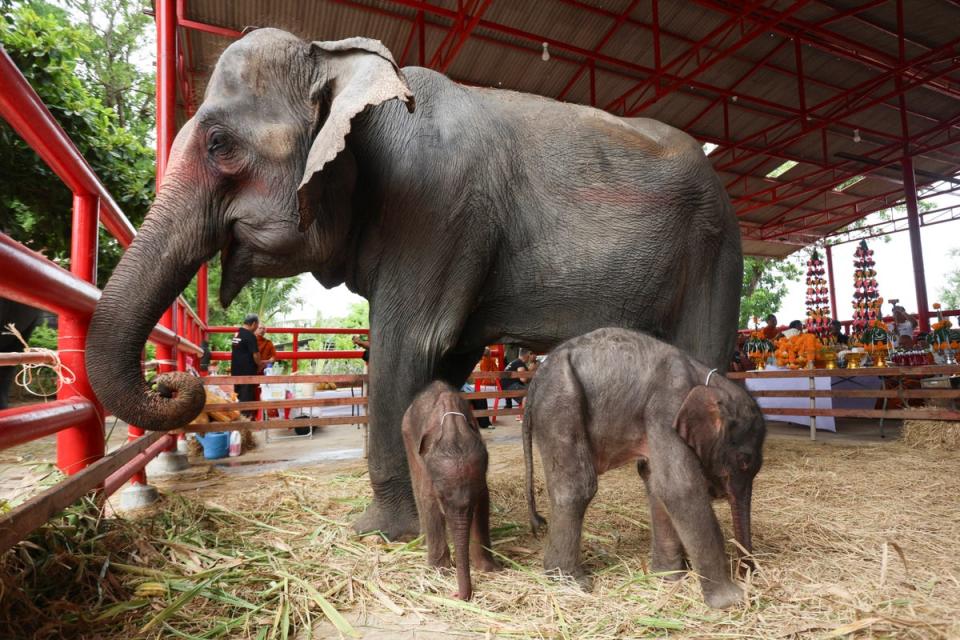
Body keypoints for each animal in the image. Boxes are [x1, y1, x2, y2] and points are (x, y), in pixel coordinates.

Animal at [86, 30, 744, 540]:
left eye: (219, 144)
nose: (179, 380)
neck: (342, 63)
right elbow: (442, 363)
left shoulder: (435, 211)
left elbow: (408, 347)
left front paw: (379, 532)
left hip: (716, 247)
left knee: (703, 357)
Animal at [402, 380, 498, 600]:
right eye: (442, 497)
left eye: (475, 496)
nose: (455, 595)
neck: (453, 427)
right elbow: (428, 499)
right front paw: (440, 571)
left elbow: (484, 503)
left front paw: (489, 569)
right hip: (407, 434)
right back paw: (423, 542)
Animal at [520, 330, 768, 608]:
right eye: (744, 460)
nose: (748, 573)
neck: (707, 379)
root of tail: (537, 378)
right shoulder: (666, 406)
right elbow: (679, 488)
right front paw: (733, 601)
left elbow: (656, 483)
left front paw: (668, 578)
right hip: (561, 403)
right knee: (577, 487)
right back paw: (571, 583)